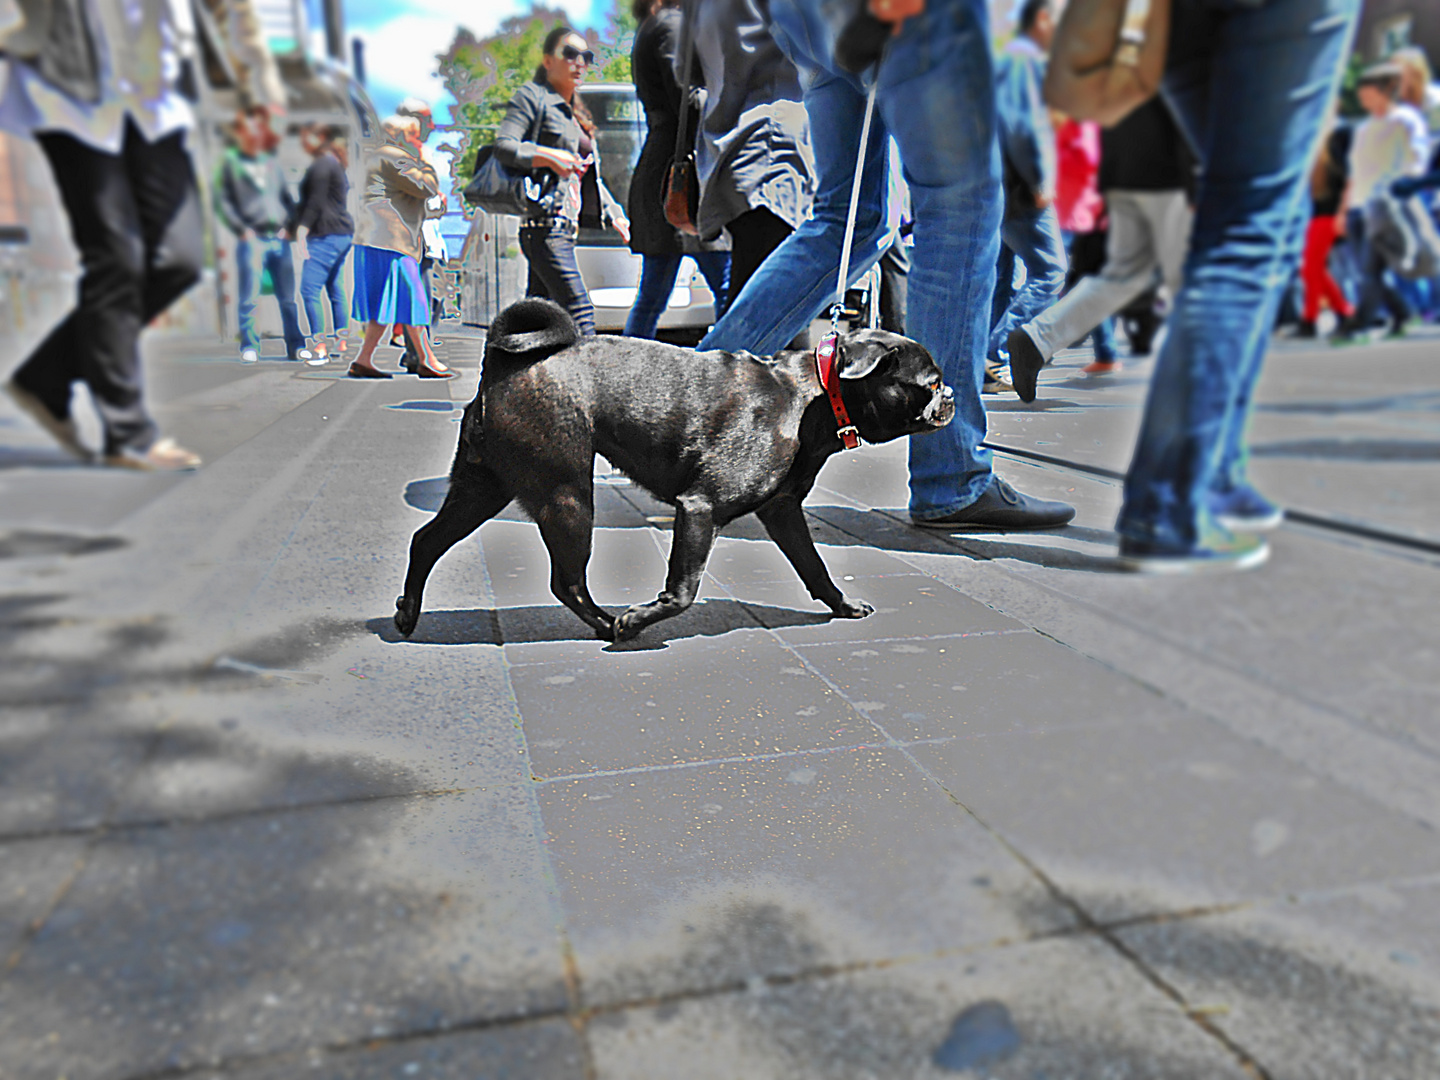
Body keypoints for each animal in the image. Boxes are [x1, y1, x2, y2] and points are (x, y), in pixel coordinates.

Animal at [394, 296, 956, 642]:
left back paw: (407, 612)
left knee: (426, 540)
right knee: (566, 581)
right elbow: (684, 590)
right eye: (929, 384)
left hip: (482, 488)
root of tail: (499, 365)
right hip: (567, 497)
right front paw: (642, 618)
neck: (814, 395)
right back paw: (611, 625)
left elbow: (814, 568)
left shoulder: (783, 513)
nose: (951, 396)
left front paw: (841, 607)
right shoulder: (700, 509)